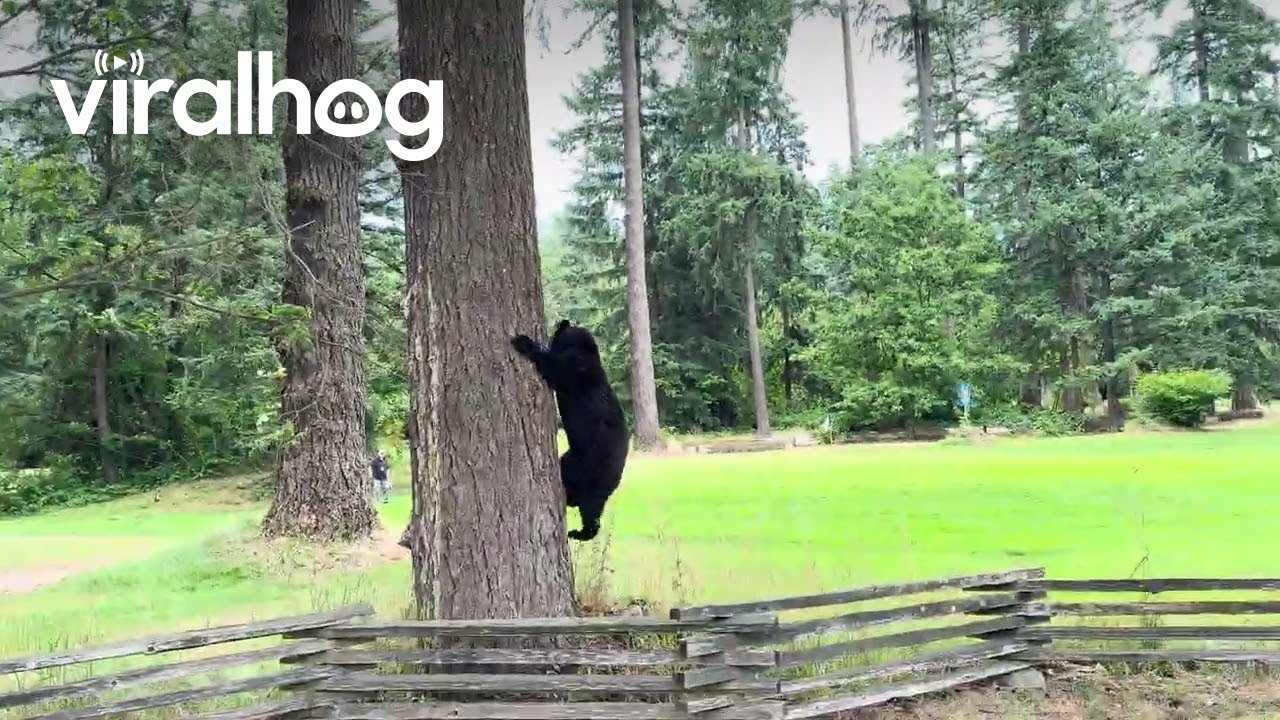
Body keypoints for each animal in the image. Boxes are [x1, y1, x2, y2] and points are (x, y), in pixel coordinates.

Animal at [511, 319, 629, 541]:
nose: (553, 332)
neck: (586, 353)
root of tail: (615, 481)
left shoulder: (570, 369)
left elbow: (551, 366)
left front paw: (523, 342)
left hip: (584, 468)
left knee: (589, 511)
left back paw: (577, 532)